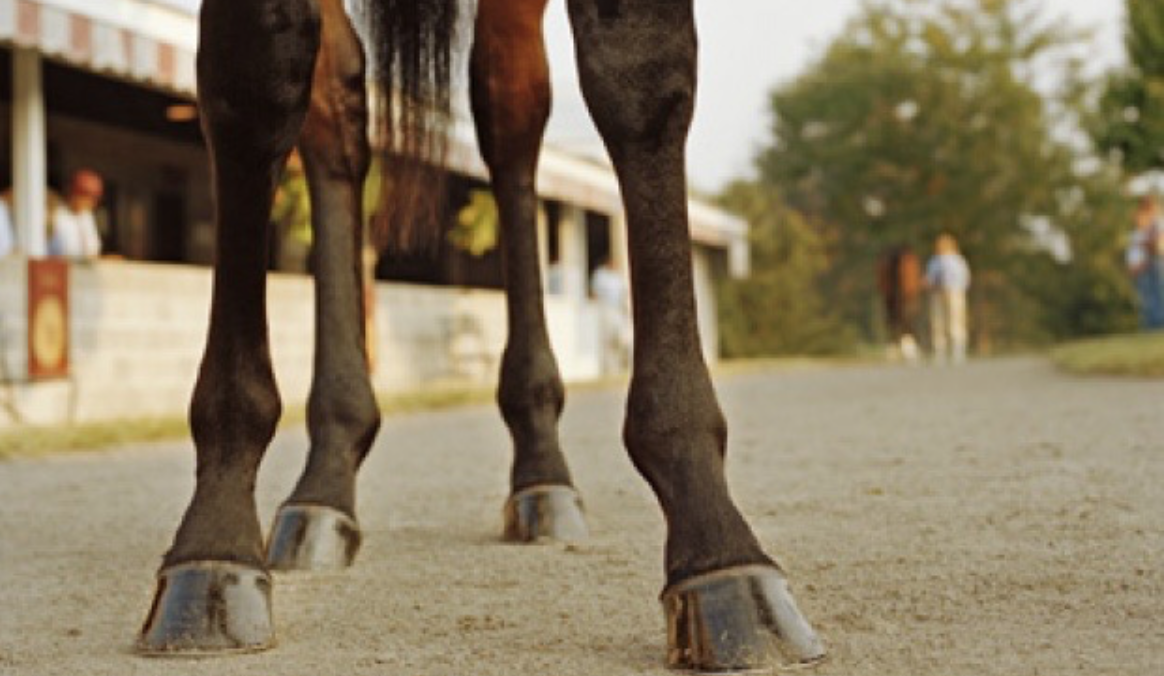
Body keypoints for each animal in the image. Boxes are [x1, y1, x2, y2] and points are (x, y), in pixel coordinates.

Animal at [133, 0, 828, 665]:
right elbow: (253, 78)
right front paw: (215, 542)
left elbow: (640, 71)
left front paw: (715, 539)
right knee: (338, 115)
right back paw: (327, 475)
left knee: (509, 112)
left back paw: (541, 469)